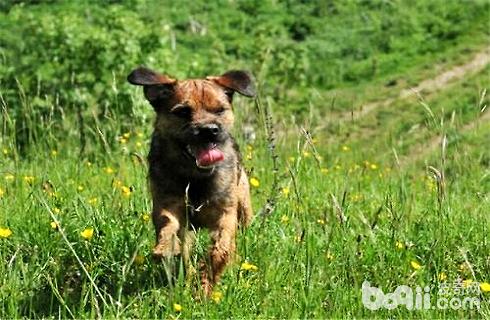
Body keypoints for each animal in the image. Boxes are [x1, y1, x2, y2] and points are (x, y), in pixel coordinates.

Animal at [126, 67, 256, 296]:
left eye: (219, 110)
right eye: (182, 112)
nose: (209, 130)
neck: (196, 177)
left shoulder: (225, 213)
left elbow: (221, 247)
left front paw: (205, 285)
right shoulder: (168, 204)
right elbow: (167, 224)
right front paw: (167, 248)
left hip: (244, 207)